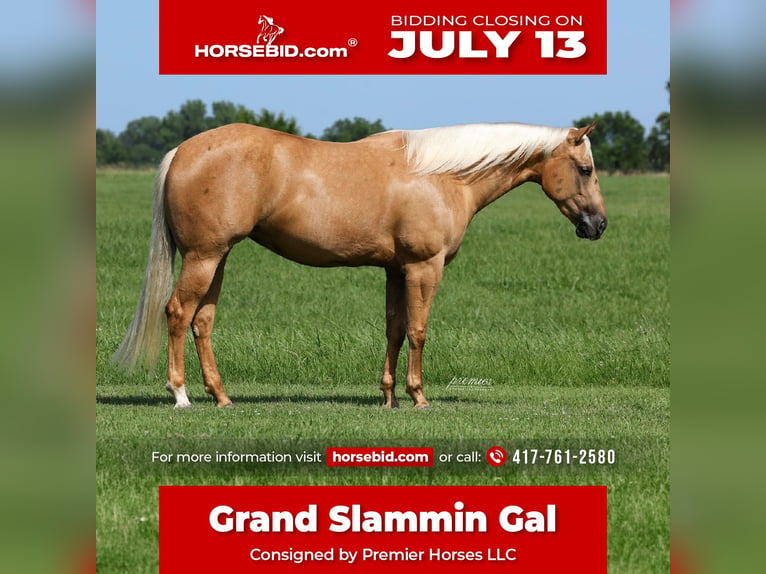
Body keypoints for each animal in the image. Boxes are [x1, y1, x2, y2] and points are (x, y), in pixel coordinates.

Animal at [112, 122, 606, 409]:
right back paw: (180, 395)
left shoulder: (396, 270)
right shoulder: (424, 269)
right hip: (205, 256)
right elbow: (419, 331)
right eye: (585, 169)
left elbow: (394, 329)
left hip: (217, 258)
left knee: (203, 321)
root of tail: (182, 150)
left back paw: (221, 396)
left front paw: (388, 397)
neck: (441, 174)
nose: (598, 225)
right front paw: (418, 396)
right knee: (178, 313)